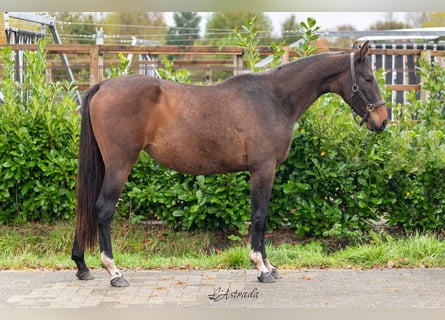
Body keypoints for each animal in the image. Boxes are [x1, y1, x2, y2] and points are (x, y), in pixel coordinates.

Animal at [72, 41, 386, 286]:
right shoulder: (263, 170)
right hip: (119, 165)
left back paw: (82, 266)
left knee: (86, 207)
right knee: (103, 209)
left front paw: (269, 265)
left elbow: (262, 216)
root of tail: (103, 86)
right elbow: (259, 216)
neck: (274, 98)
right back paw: (114, 272)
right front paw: (261, 268)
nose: (382, 121)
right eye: (368, 78)